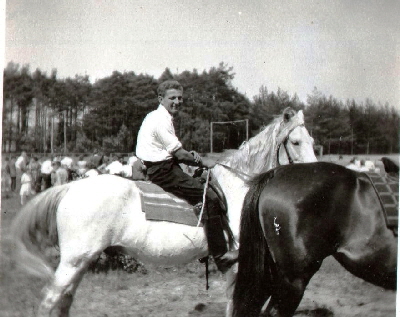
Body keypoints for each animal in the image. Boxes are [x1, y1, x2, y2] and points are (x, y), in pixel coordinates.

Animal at [10, 108, 318, 316]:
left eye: (313, 140)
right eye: (296, 142)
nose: (314, 175)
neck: (237, 189)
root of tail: (71, 187)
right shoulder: (239, 263)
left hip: (80, 262)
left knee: (64, 301)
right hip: (74, 261)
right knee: (50, 300)